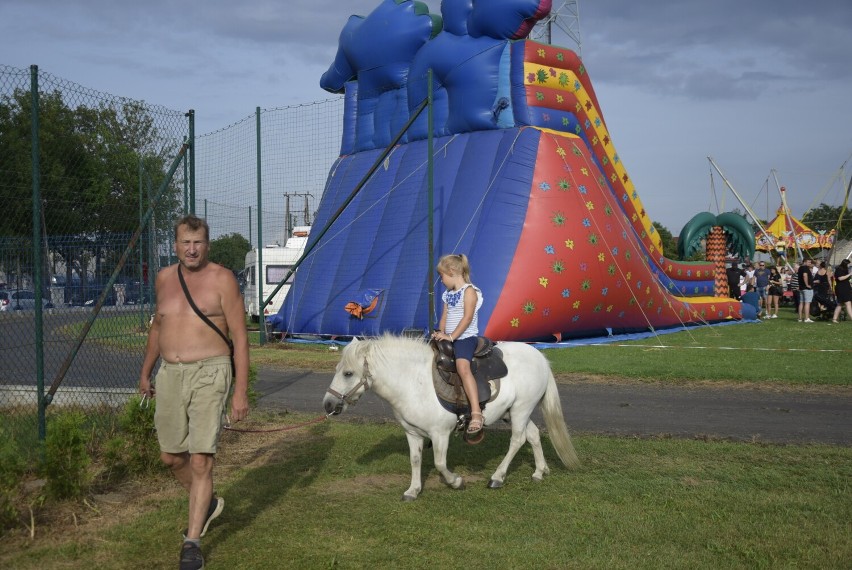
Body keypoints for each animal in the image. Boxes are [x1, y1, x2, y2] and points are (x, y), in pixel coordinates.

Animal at [322, 336, 580, 500]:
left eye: (348, 373)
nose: (328, 404)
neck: (414, 382)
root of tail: (539, 357)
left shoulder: (440, 434)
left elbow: (439, 463)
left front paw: (456, 481)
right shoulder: (412, 433)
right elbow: (415, 460)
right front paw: (413, 490)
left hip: (521, 410)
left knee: (517, 440)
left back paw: (497, 477)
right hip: (515, 413)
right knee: (533, 435)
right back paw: (539, 471)